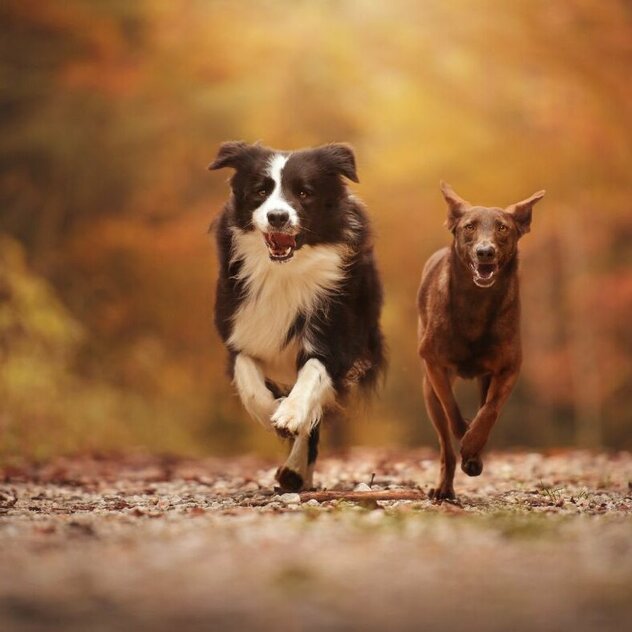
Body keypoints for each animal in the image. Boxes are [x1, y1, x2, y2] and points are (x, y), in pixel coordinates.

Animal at [210, 141, 386, 492]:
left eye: (304, 193)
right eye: (260, 191)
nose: (277, 216)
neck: (285, 272)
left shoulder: (336, 339)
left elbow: (312, 375)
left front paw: (290, 414)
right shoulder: (240, 329)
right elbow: (248, 378)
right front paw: (273, 411)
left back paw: (295, 470)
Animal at [418, 183, 544, 498]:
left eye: (502, 227)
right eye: (469, 227)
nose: (485, 251)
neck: (477, 301)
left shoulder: (509, 367)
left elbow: (490, 410)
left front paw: (473, 447)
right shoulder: (435, 363)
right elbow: (452, 409)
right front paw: (464, 437)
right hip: (428, 390)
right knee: (445, 446)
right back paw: (444, 487)